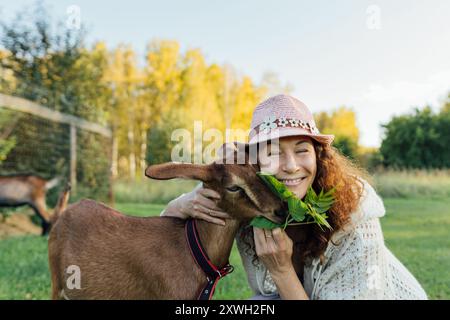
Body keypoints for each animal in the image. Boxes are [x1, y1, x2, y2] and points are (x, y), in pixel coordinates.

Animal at [48, 145, 288, 300]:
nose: (282, 209)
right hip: (57, 285)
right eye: (233, 187)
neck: (192, 250)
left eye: (258, 172)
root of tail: (64, 212)